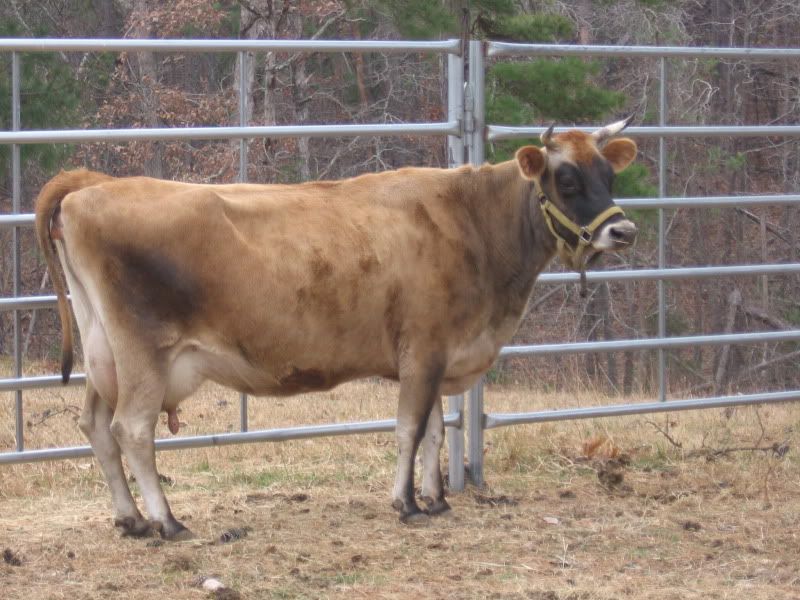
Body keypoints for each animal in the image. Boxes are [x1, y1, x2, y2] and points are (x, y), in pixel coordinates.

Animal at [35, 119, 638, 541]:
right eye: (566, 178)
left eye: (609, 176)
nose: (624, 231)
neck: (472, 223)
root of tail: (91, 186)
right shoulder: (423, 349)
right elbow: (409, 429)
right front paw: (407, 504)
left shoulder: (438, 356)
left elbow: (434, 430)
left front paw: (437, 499)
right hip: (144, 352)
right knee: (131, 429)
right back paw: (167, 521)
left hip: (104, 352)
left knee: (95, 425)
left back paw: (130, 519)